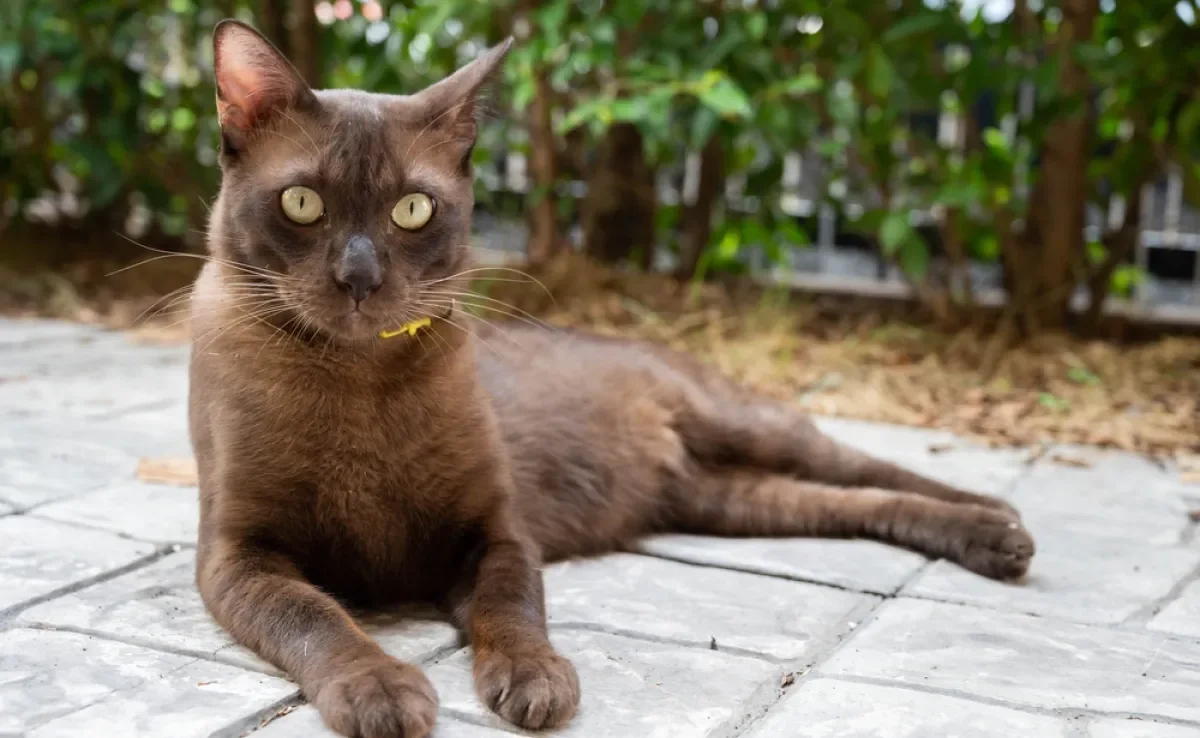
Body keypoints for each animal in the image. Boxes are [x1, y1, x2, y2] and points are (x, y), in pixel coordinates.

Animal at [192, 21, 1036, 738]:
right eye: (303, 203)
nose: (359, 278)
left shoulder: (496, 532)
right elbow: (314, 616)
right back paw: (993, 538)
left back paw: (999, 522)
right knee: (849, 503)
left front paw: (536, 680)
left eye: (412, 210)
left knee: (866, 466)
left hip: (744, 426)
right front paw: (379, 689)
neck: (357, 385)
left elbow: (513, 609)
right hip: (730, 501)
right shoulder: (239, 556)